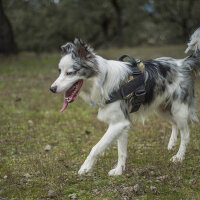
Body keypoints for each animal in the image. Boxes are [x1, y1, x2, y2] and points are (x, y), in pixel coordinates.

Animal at [50, 27, 200, 175]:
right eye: (59, 71)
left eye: (70, 73)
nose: (52, 88)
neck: (102, 81)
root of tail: (183, 62)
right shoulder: (121, 123)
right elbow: (121, 151)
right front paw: (119, 170)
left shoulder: (118, 123)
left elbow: (96, 147)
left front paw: (86, 167)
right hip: (162, 108)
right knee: (174, 124)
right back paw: (172, 144)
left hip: (179, 109)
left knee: (186, 134)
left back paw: (179, 156)